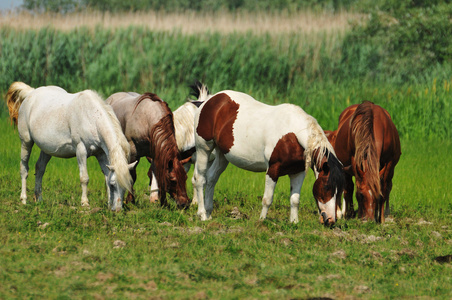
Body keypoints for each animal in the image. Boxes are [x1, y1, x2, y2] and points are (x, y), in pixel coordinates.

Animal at [5, 81, 136, 210]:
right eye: (114, 185)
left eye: (126, 186)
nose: (117, 210)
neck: (91, 117)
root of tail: (31, 93)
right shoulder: (81, 150)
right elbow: (84, 178)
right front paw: (85, 203)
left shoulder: (101, 154)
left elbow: (106, 176)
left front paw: (108, 204)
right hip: (26, 142)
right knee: (24, 169)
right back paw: (23, 199)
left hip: (47, 149)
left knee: (40, 168)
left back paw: (39, 199)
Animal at [192, 84, 344, 225]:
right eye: (326, 187)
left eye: (340, 189)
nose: (331, 220)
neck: (293, 134)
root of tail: (208, 101)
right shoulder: (273, 170)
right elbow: (267, 199)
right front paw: (262, 221)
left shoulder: (298, 172)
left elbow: (295, 199)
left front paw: (294, 222)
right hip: (203, 149)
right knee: (200, 179)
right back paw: (202, 215)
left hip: (222, 155)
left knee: (212, 178)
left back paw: (209, 213)